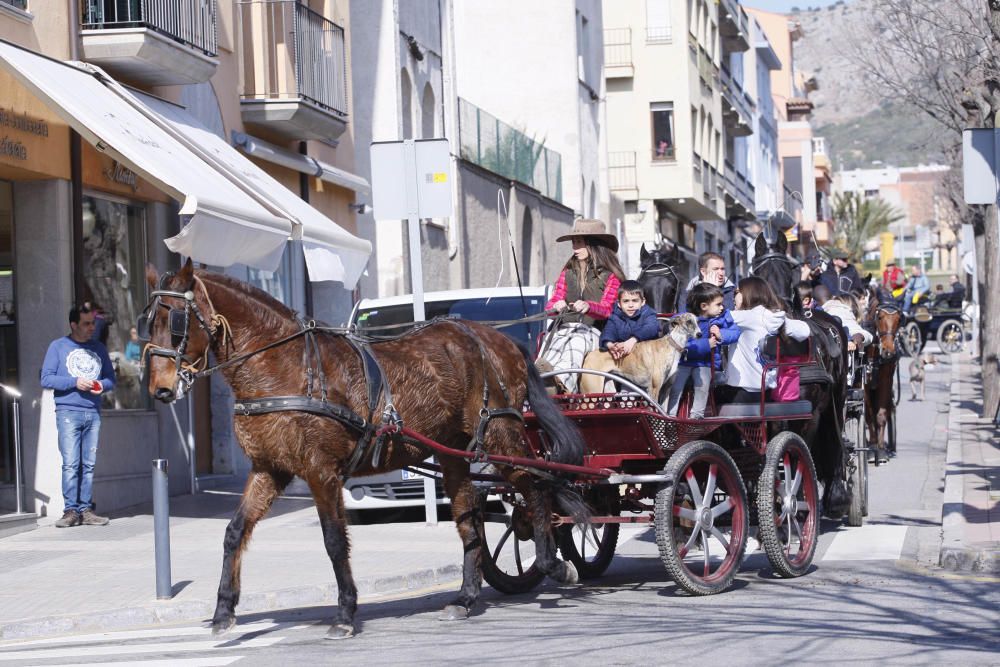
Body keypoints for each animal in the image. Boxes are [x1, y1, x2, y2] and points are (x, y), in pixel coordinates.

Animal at [145, 260, 588, 636]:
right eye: (147, 321)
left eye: (177, 320)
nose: (160, 388)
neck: (285, 366)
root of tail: (498, 339)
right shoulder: (270, 468)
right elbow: (235, 531)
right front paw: (224, 610)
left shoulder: (321, 471)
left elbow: (333, 539)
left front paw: (344, 612)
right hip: (454, 453)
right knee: (469, 516)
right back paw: (465, 597)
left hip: (500, 434)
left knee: (536, 484)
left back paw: (553, 564)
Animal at [752, 227, 852, 520]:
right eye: (759, 272)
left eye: (788, 271)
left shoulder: (810, 415)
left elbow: (799, 455)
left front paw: (795, 502)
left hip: (837, 399)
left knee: (836, 440)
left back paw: (836, 496)